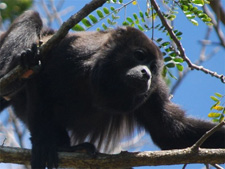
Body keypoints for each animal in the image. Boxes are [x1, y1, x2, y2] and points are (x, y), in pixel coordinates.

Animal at [0, 10, 224, 169]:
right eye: (139, 55)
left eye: (153, 67)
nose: (146, 74)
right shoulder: (72, 51)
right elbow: (40, 79)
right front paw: (44, 142)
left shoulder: (154, 92)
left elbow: (170, 132)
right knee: (31, 18)